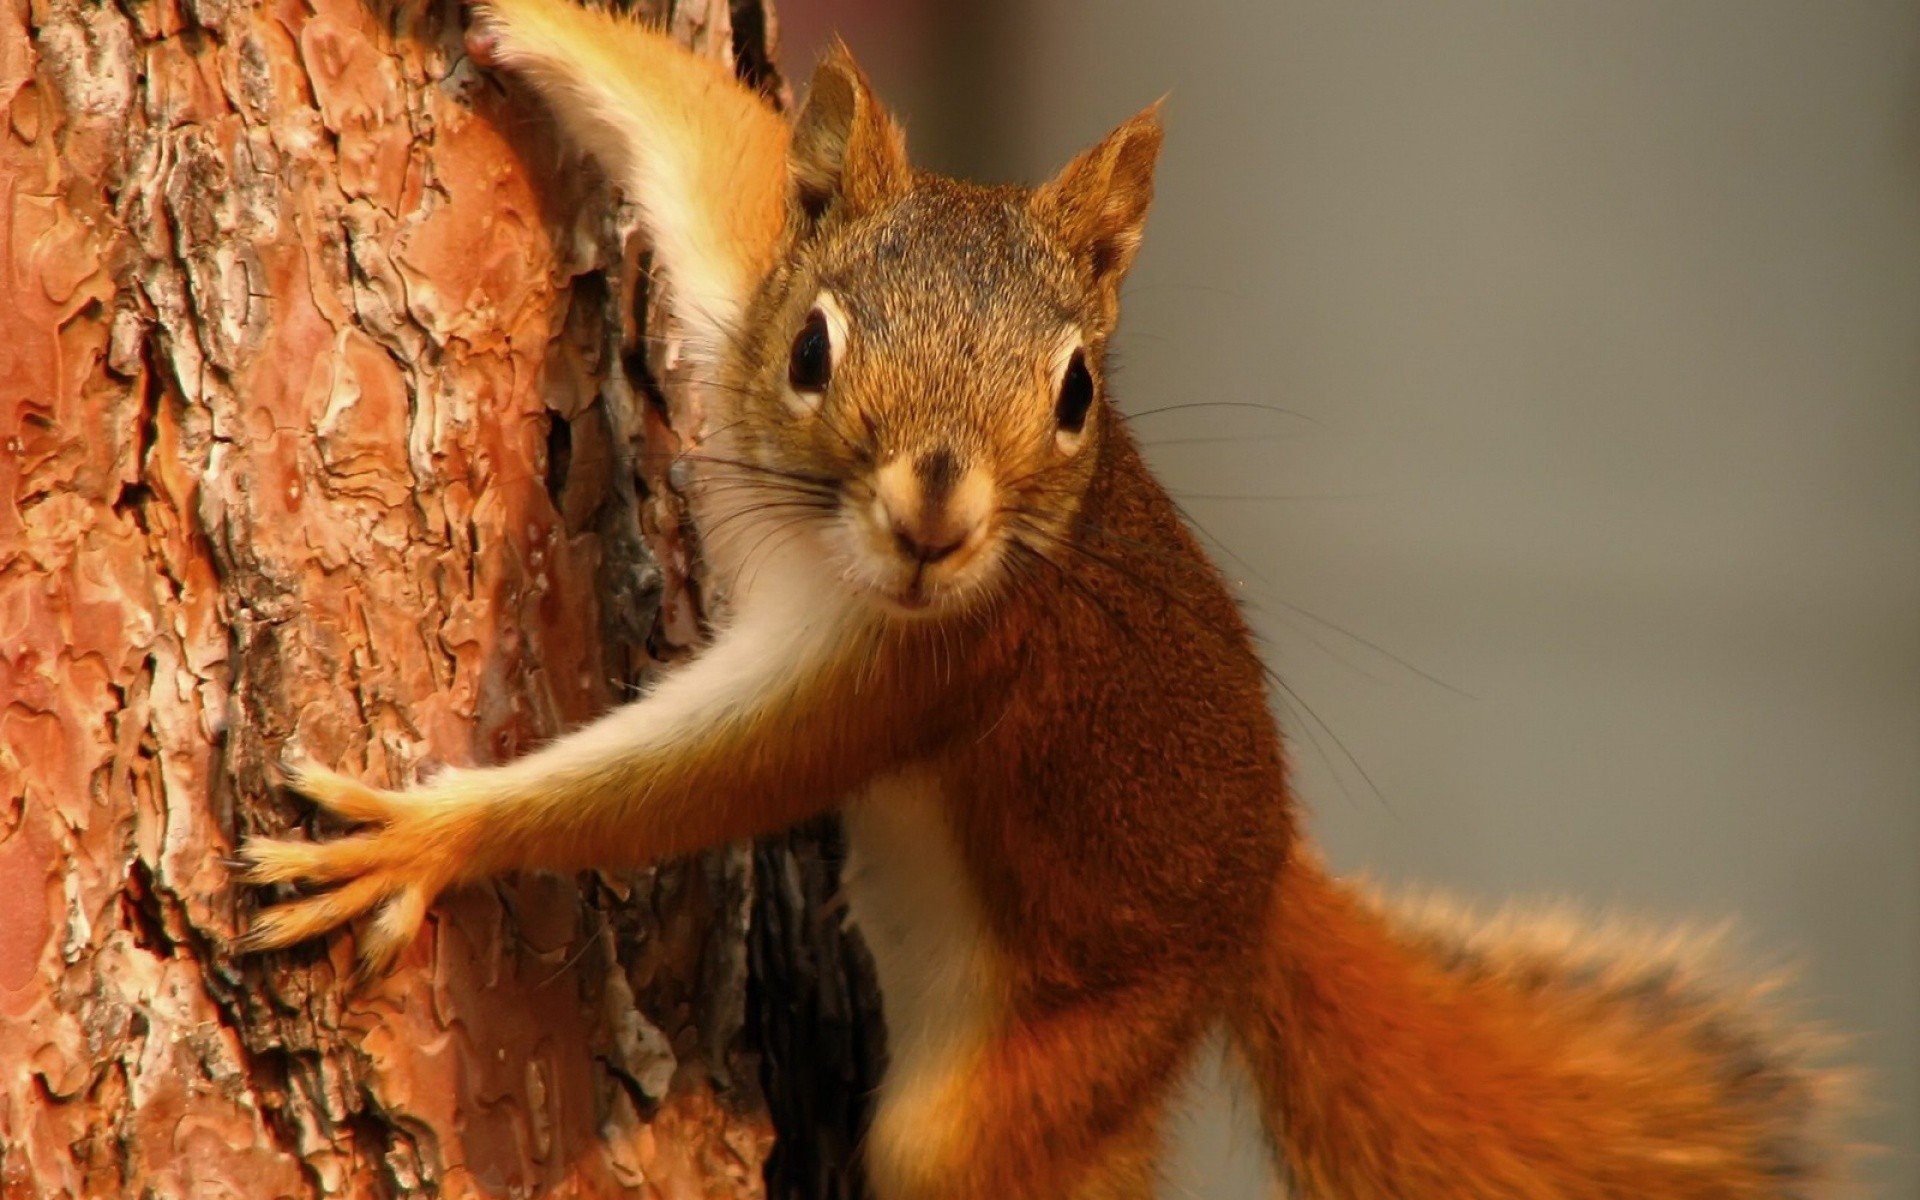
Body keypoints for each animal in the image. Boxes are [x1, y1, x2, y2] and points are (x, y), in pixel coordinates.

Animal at [233, 2, 1846, 1196]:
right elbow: (709, 137)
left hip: (1049, 1076)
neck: (819, 545)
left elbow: (696, 782)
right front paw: (520, 18)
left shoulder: (929, 668)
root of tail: (1263, 892)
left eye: (1077, 392)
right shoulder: (741, 274)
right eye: (812, 349)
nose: (936, 521)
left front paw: (429, 837)